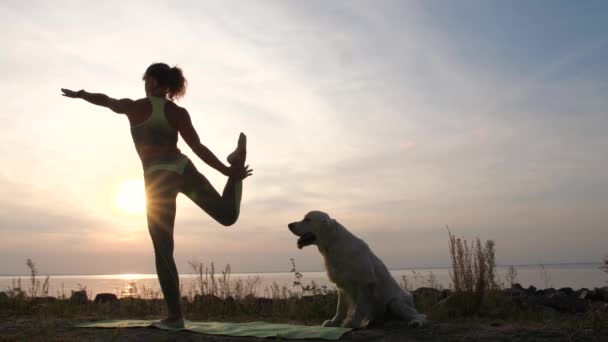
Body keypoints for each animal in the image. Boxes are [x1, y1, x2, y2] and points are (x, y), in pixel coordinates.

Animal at [288, 211, 426, 328]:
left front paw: (352, 323)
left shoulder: (364, 283)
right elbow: (340, 308)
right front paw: (334, 322)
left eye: (307, 220)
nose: (289, 225)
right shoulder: (342, 285)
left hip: (396, 303)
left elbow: (359, 307)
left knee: (420, 316)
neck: (333, 245)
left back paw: (415, 322)